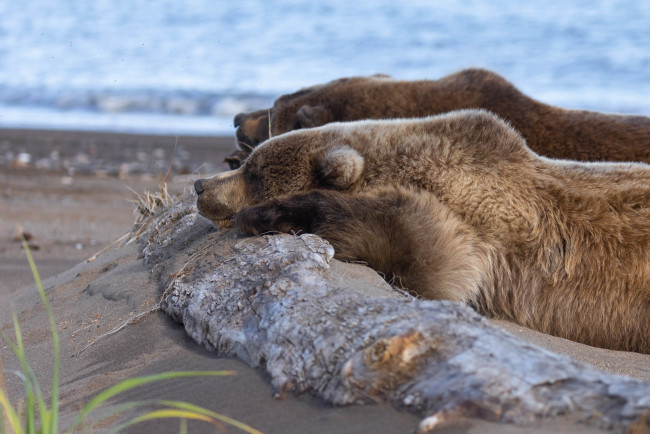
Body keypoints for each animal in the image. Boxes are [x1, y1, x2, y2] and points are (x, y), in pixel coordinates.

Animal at [195, 107, 648, 352]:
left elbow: (434, 261)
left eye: (253, 173)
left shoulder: (482, 226)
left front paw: (268, 214)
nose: (200, 185)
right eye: (247, 163)